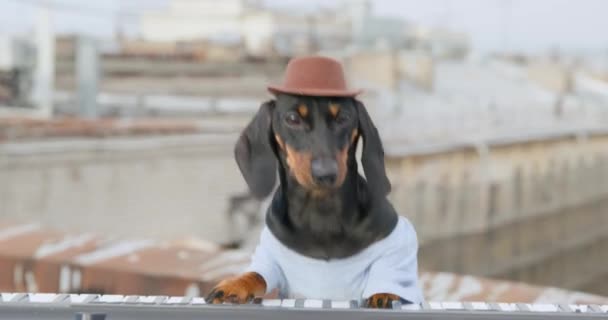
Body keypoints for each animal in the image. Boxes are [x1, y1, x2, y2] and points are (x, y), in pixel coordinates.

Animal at [207, 94, 420, 308]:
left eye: (343, 118)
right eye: (292, 118)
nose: (326, 174)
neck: (321, 214)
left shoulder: (397, 246)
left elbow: (390, 274)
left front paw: (384, 294)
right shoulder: (270, 256)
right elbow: (257, 274)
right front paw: (234, 285)